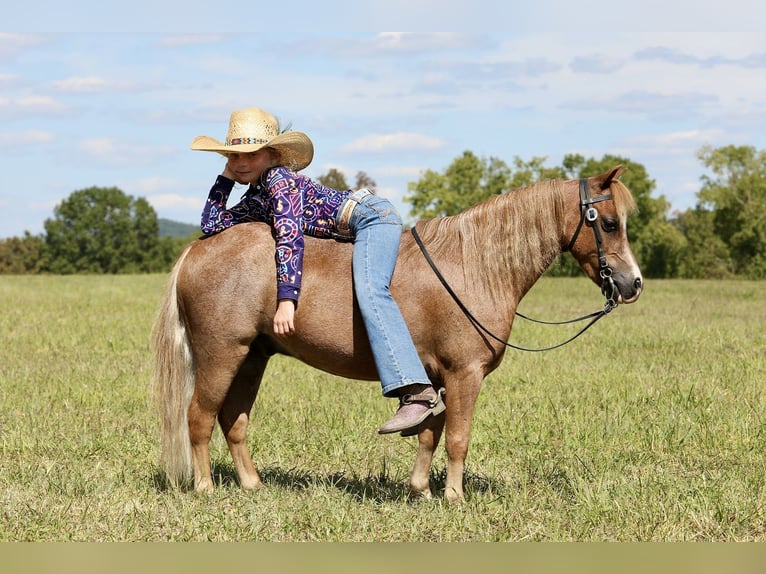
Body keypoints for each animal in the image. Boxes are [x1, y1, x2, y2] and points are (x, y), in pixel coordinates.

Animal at [152, 165, 643, 502]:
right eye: (609, 223)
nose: (633, 283)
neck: (473, 265)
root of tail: (198, 248)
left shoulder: (439, 377)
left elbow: (431, 433)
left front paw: (421, 489)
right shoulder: (465, 373)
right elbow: (458, 437)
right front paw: (454, 497)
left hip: (252, 357)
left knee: (233, 420)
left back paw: (253, 485)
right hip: (221, 354)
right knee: (199, 417)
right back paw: (205, 488)